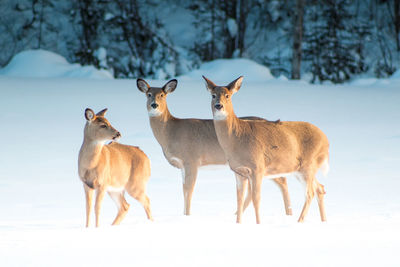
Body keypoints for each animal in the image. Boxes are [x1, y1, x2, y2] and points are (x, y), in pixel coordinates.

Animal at [136, 78, 292, 217]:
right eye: (148, 94)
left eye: (162, 95)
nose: (154, 105)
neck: (171, 131)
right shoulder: (182, 165)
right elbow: (183, 190)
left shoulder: (192, 159)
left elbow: (189, 190)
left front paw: (187, 216)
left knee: (282, 180)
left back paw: (288, 213)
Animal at [202, 76, 330, 225]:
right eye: (213, 95)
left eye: (227, 95)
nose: (219, 105)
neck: (236, 138)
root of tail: (326, 140)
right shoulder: (238, 171)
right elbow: (239, 200)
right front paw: (238, 223)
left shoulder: (258, 167)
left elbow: (256, 199)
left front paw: (258, 224)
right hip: (301, 169)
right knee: (320, 188)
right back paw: (323, 221)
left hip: (308, 166)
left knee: (310, 193)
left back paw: (299, 221)